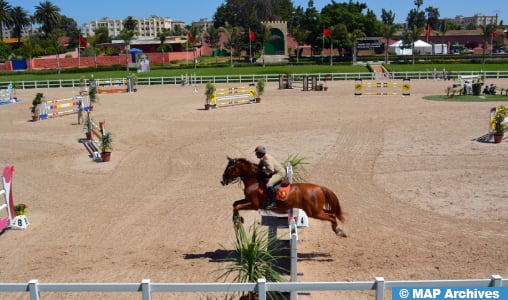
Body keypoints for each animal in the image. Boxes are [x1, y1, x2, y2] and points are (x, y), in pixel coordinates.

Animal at [220, 157, 348, 237]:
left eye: (230, 168)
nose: (222, 181)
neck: (254, 181)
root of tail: (320, 188)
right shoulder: (248, 200)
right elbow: (235, 203)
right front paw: (237, 219)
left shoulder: (254, 205)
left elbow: (237, 206)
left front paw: (237, 220)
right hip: (317, 210)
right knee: (332, 214)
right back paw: (338, 230)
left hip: (314, 212)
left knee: (331, 216)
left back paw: (338, 231)